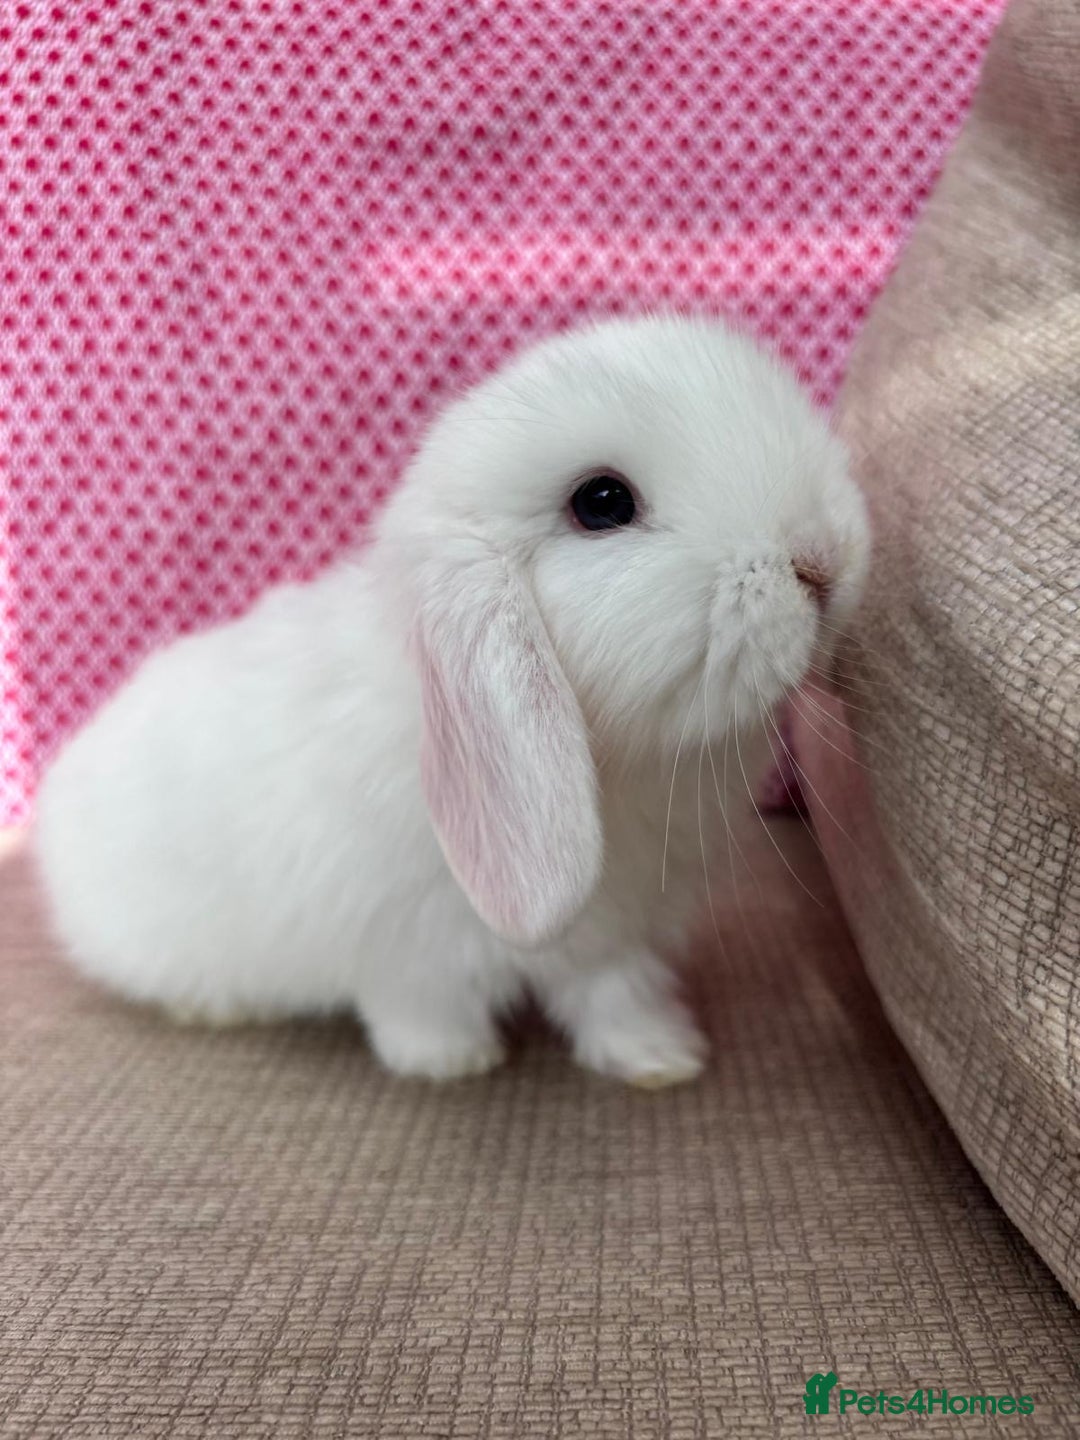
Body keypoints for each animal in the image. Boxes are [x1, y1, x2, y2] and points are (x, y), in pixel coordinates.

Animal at [34, 313, 869, 1086]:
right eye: (602, 502)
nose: (822, 558)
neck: (617, 771)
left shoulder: (617, 937)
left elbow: (616, 998)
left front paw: (663, 1059)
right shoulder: (404, 948)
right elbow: (418, 1007)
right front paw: (451, 1063)